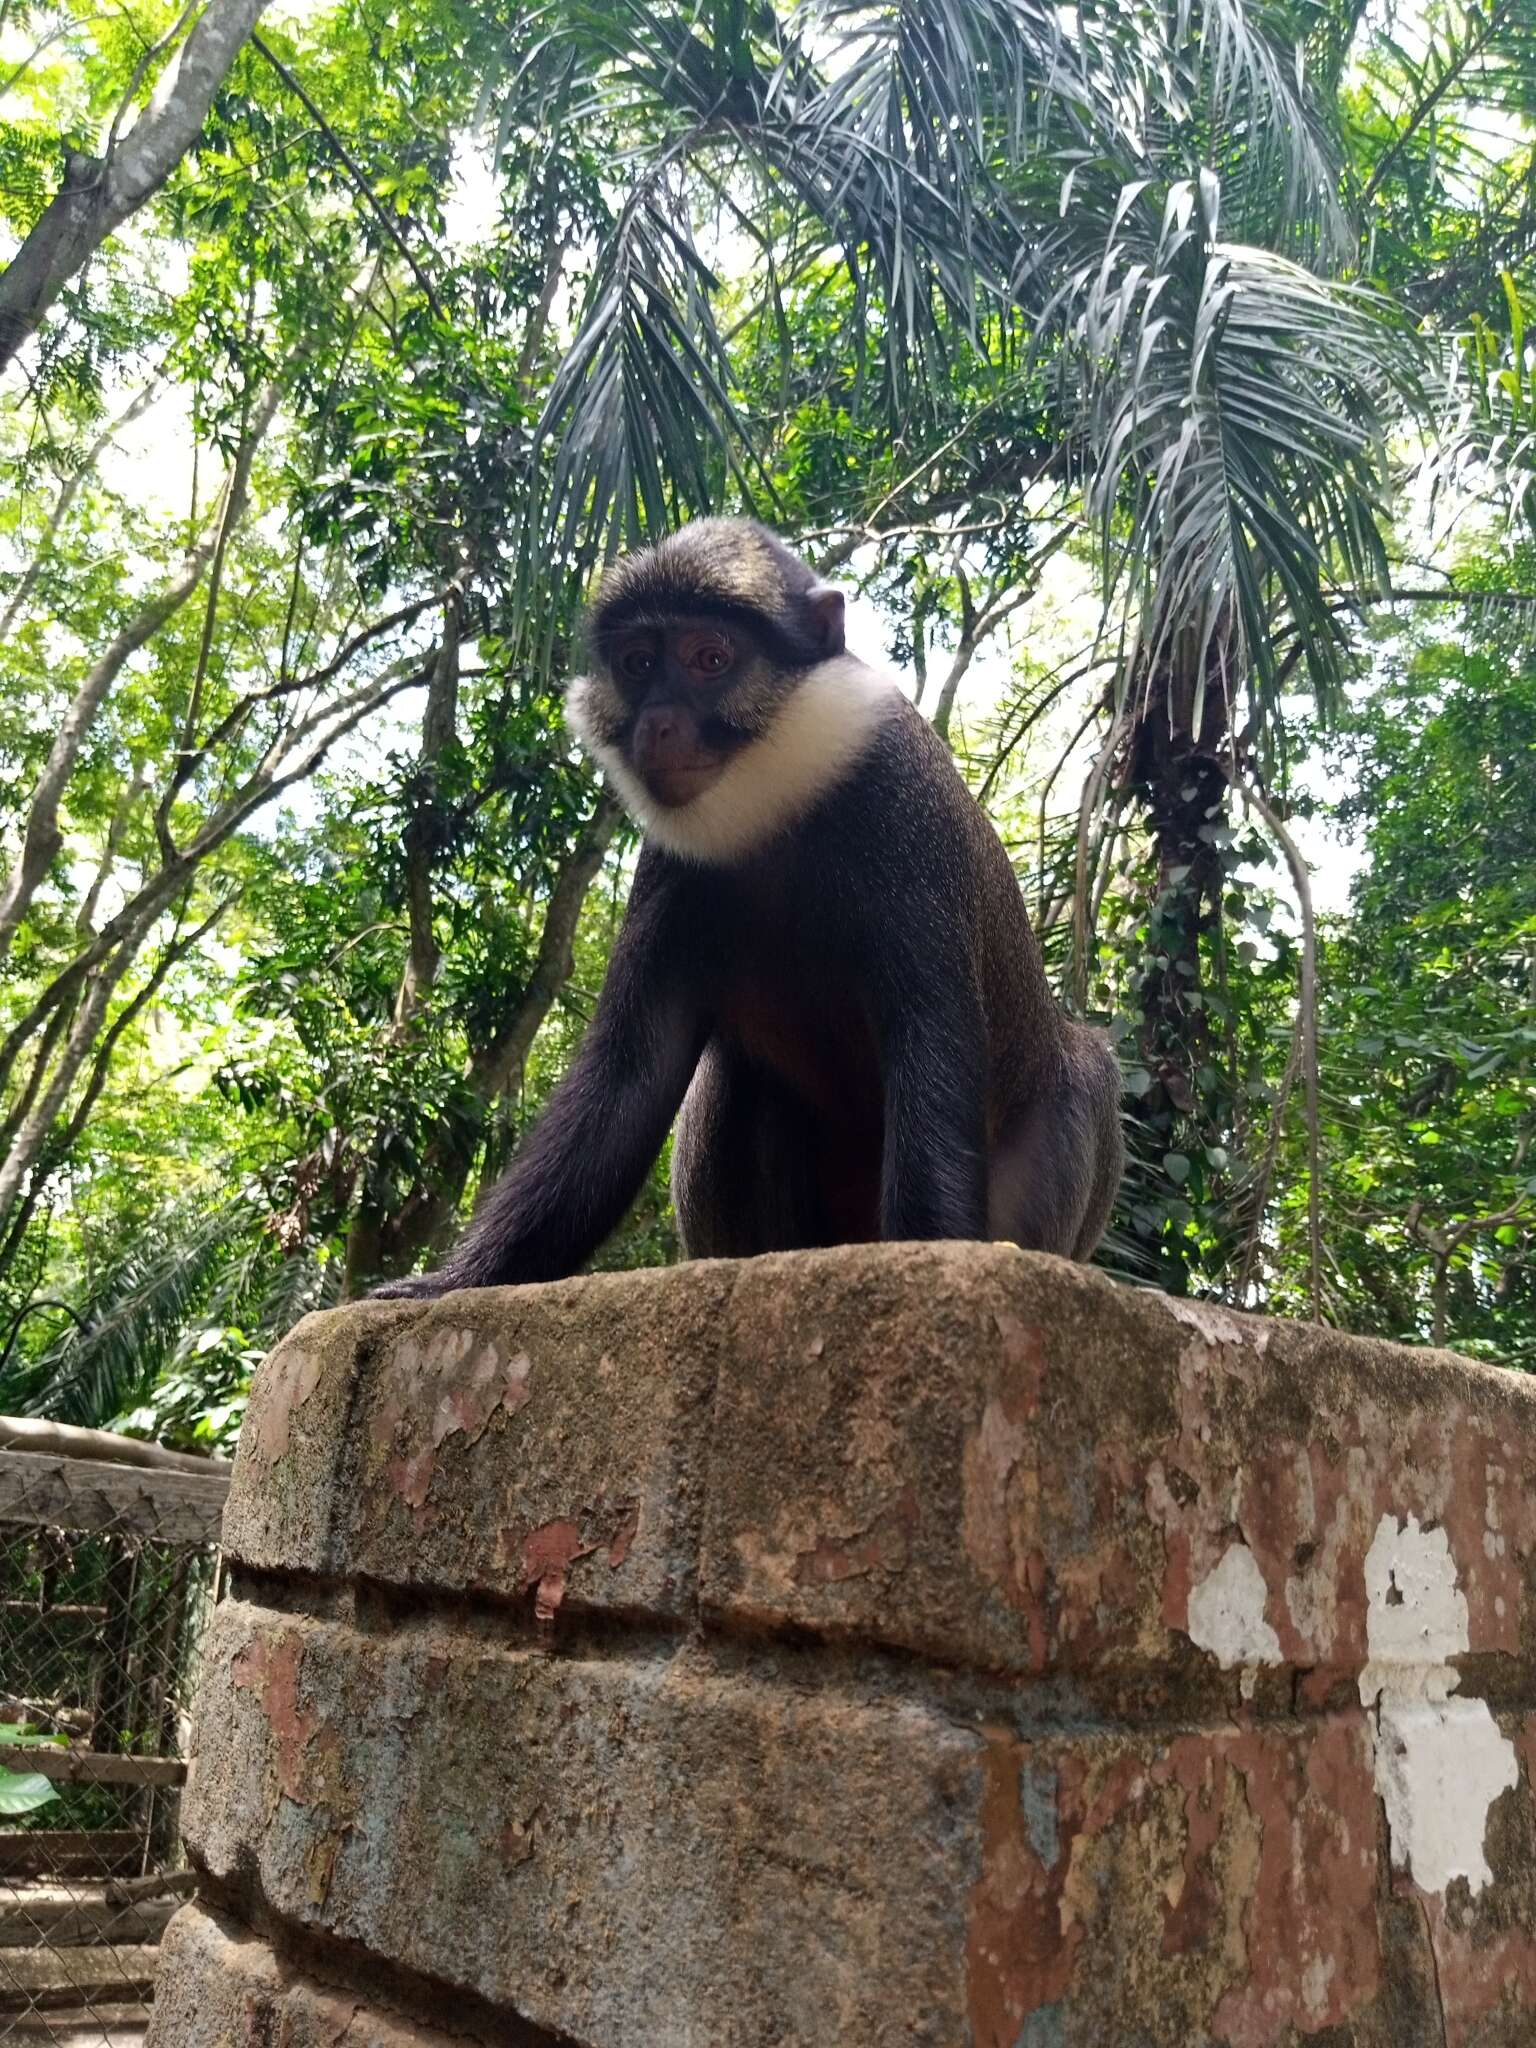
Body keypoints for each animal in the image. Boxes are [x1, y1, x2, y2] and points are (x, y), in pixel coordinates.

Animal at [370, 520, 1122, 1302]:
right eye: (638, 663)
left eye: (711, 658)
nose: (658, 724)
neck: (777, 799)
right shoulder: (669, 870)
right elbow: (632, 1072)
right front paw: (450, 1283)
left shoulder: (905, 816)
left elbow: (931, 1044)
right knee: (737, 1072)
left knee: (1086, 1073)